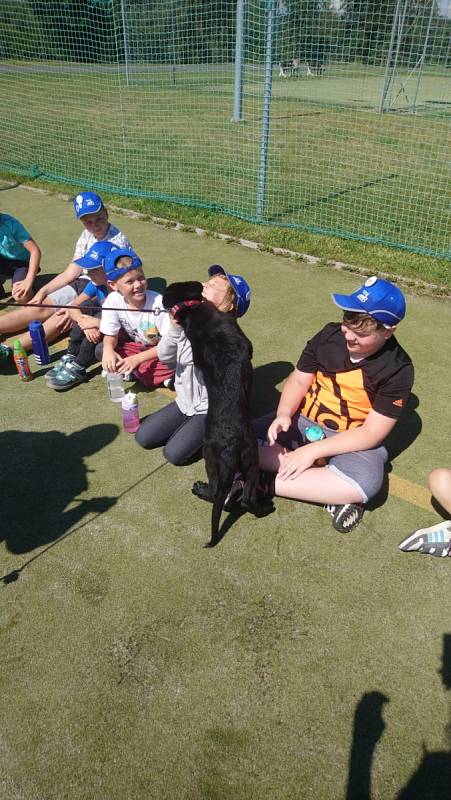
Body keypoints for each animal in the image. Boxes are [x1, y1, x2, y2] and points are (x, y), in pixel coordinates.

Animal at [163, 282, 274, 552]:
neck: (192, 311)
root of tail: (229, 445)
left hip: (243, 460)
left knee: (241, 498)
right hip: (226, 459)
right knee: (226, 494)